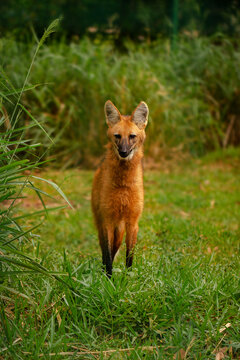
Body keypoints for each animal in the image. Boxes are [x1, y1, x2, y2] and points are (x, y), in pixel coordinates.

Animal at [91, 100, 148, 278]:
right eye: (117, 136)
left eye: (132, 136)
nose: (123, 152)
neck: (123, 185)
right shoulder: (107, 221)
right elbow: (108, 257)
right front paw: (108, 281)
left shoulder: (132, 222)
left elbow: (129, 257)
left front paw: (127, 280)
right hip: (102, 224)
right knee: (105, 252)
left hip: (120, 231)